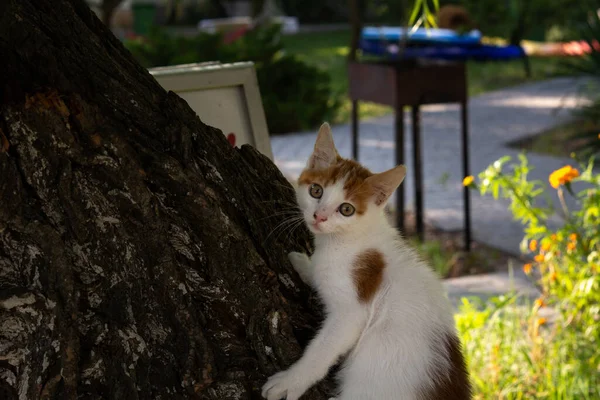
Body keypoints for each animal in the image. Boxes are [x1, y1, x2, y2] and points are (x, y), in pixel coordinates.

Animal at [264, 123, 472, 398]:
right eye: (316, 190)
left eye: (346, 209)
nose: (319, 216)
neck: (348, 239)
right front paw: (304, 264)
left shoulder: (353, 310)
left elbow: (321, 351)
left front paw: (290, 381)